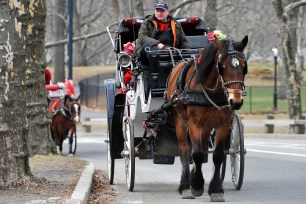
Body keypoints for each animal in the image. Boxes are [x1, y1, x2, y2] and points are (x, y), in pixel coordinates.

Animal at [166, 35, 247, 201]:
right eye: (222, 67)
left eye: (244, 67)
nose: (235, 101)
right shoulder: (194, 123)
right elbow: (196, 154)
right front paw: (196, 185)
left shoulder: (223, 124)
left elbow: (217, 155)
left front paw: (215, 189)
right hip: (180, 121)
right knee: (186, 151)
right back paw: (185, 186)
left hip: (207, 126)